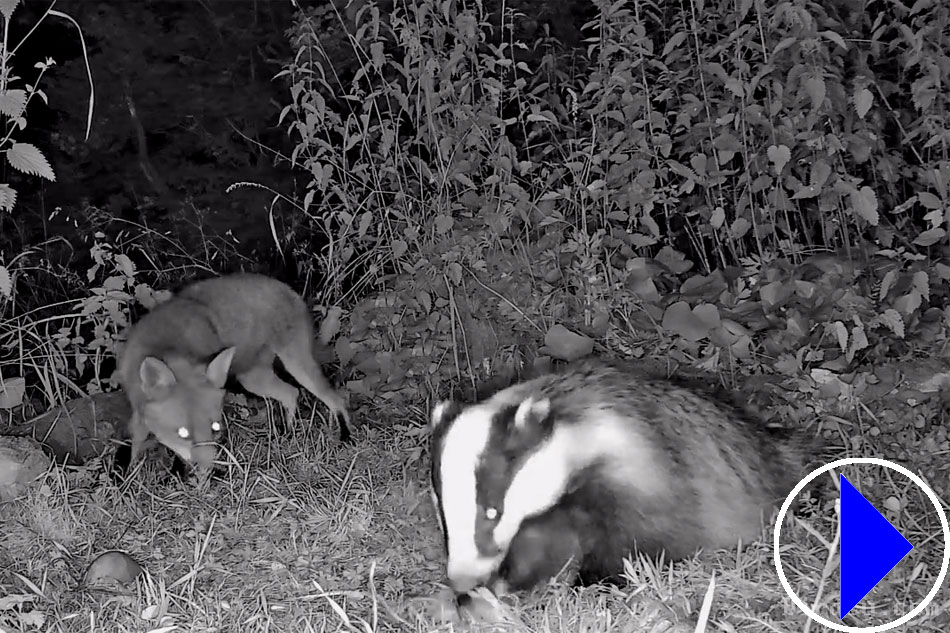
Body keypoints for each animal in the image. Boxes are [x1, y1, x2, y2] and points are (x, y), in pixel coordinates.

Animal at [115, 272, 354, 470]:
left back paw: (345, 438)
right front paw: (125, 479)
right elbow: (132, 444)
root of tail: (288, 288)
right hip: (253, 378)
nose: (209, 470)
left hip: (295, 366)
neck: (169, 343)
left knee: (335, 399)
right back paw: (288, 435)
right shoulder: (137, 409)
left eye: (215, 427)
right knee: (291, 393)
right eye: (182, 433)